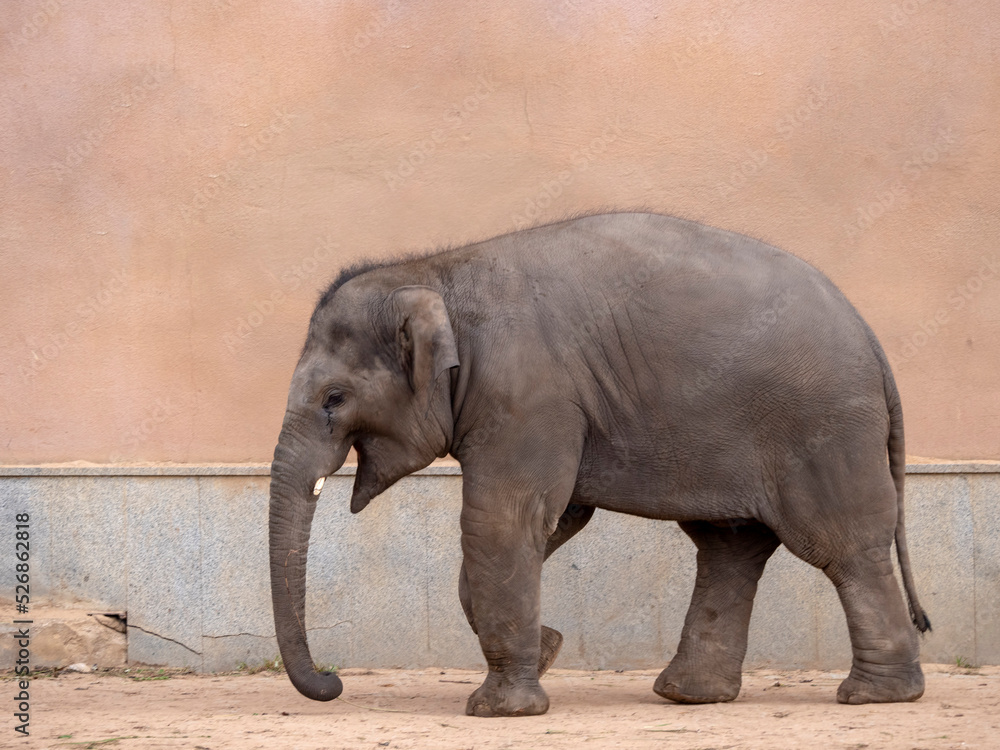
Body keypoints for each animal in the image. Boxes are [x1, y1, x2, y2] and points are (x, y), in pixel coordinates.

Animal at [268, 211, 930, 717]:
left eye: (333, 399)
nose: (332, 681)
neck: (434, 273)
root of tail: (874, 343)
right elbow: (553, 519)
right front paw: (549, 649)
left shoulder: (527, 394)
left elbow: (504, 519)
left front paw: (501, 709)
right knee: (730, 548)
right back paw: (689, 695)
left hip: (822, 428)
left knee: (842, 546)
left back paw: (874, 697)